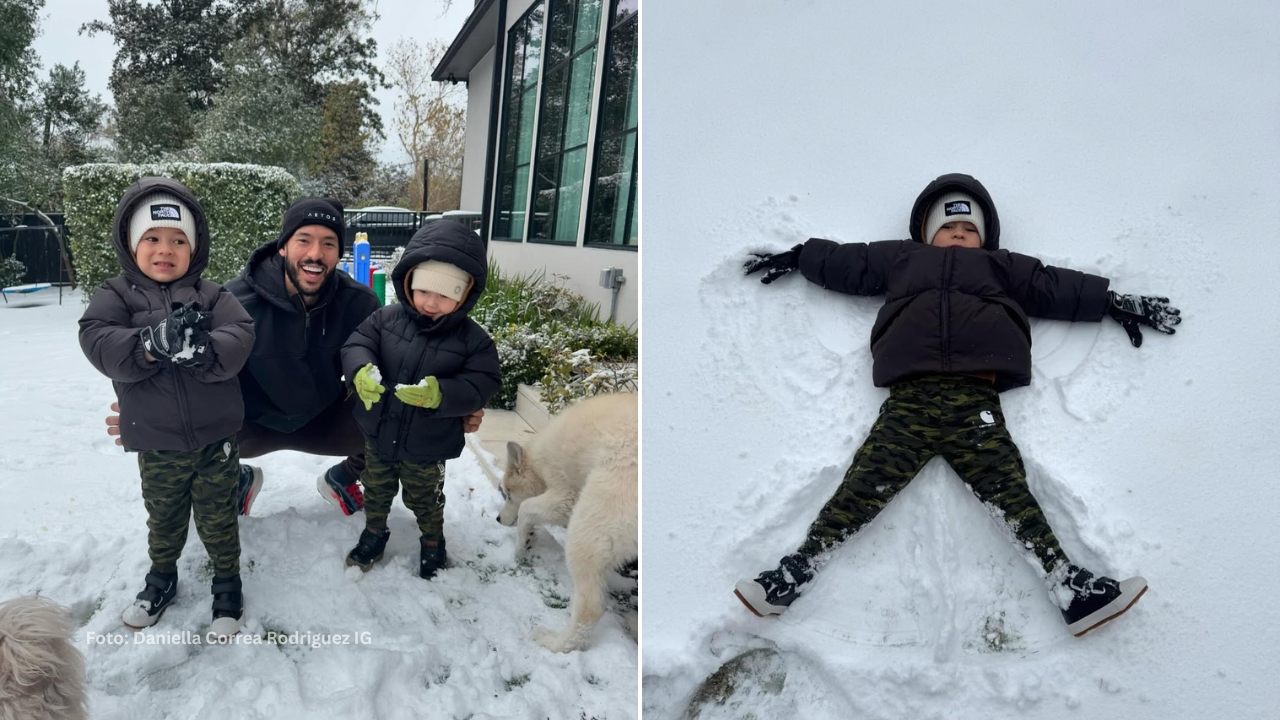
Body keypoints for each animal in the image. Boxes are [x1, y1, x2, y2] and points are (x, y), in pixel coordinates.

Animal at [499, 389, 640, 653]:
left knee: (590, 608)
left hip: (589, 524)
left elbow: (526, 508)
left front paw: (520, 549)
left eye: (508, 494)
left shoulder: (565, 495)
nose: (498, 519)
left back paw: (556, 642)